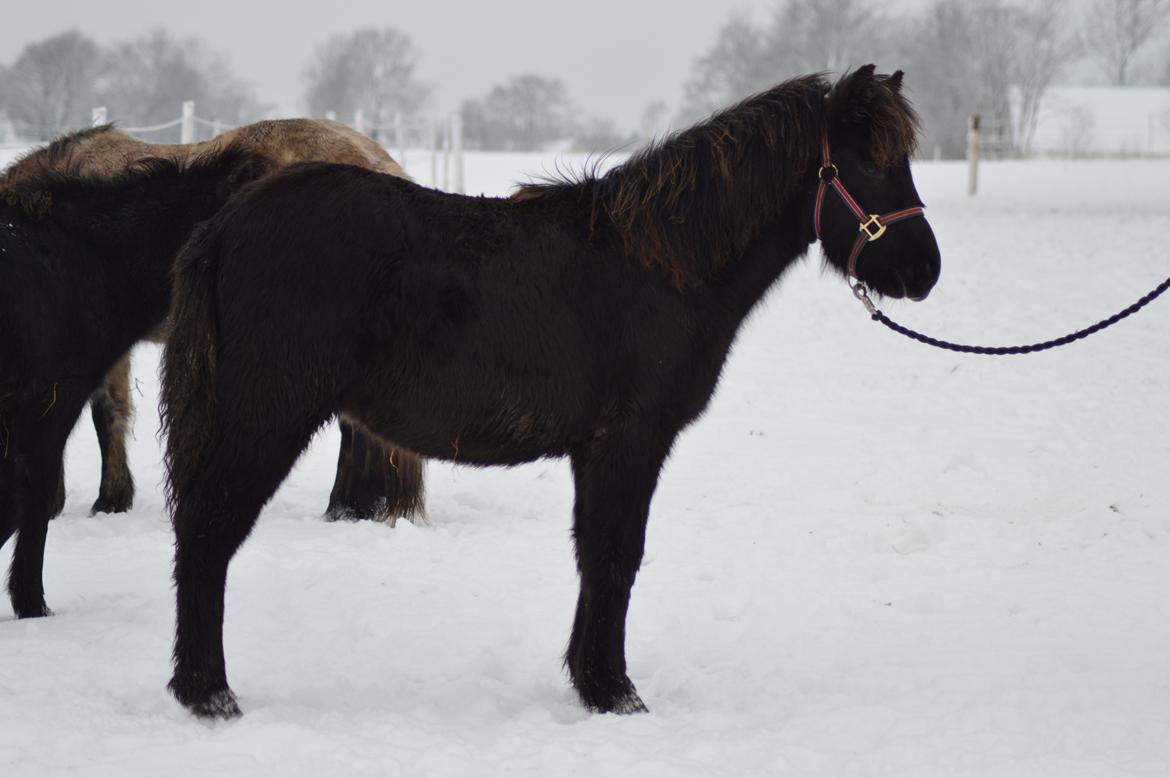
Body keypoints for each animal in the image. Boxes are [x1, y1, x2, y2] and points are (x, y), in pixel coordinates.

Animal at [157, 66, 940, 715]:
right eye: (871, 161)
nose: (925, 270)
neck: (657, 267)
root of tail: (227, 222)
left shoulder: (597, 450)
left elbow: (597, 556)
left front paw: (591, 681)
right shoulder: (630, 442)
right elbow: (617, 556)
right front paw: (615, 692)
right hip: (266, 418)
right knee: (208, 529)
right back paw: (209, 694)